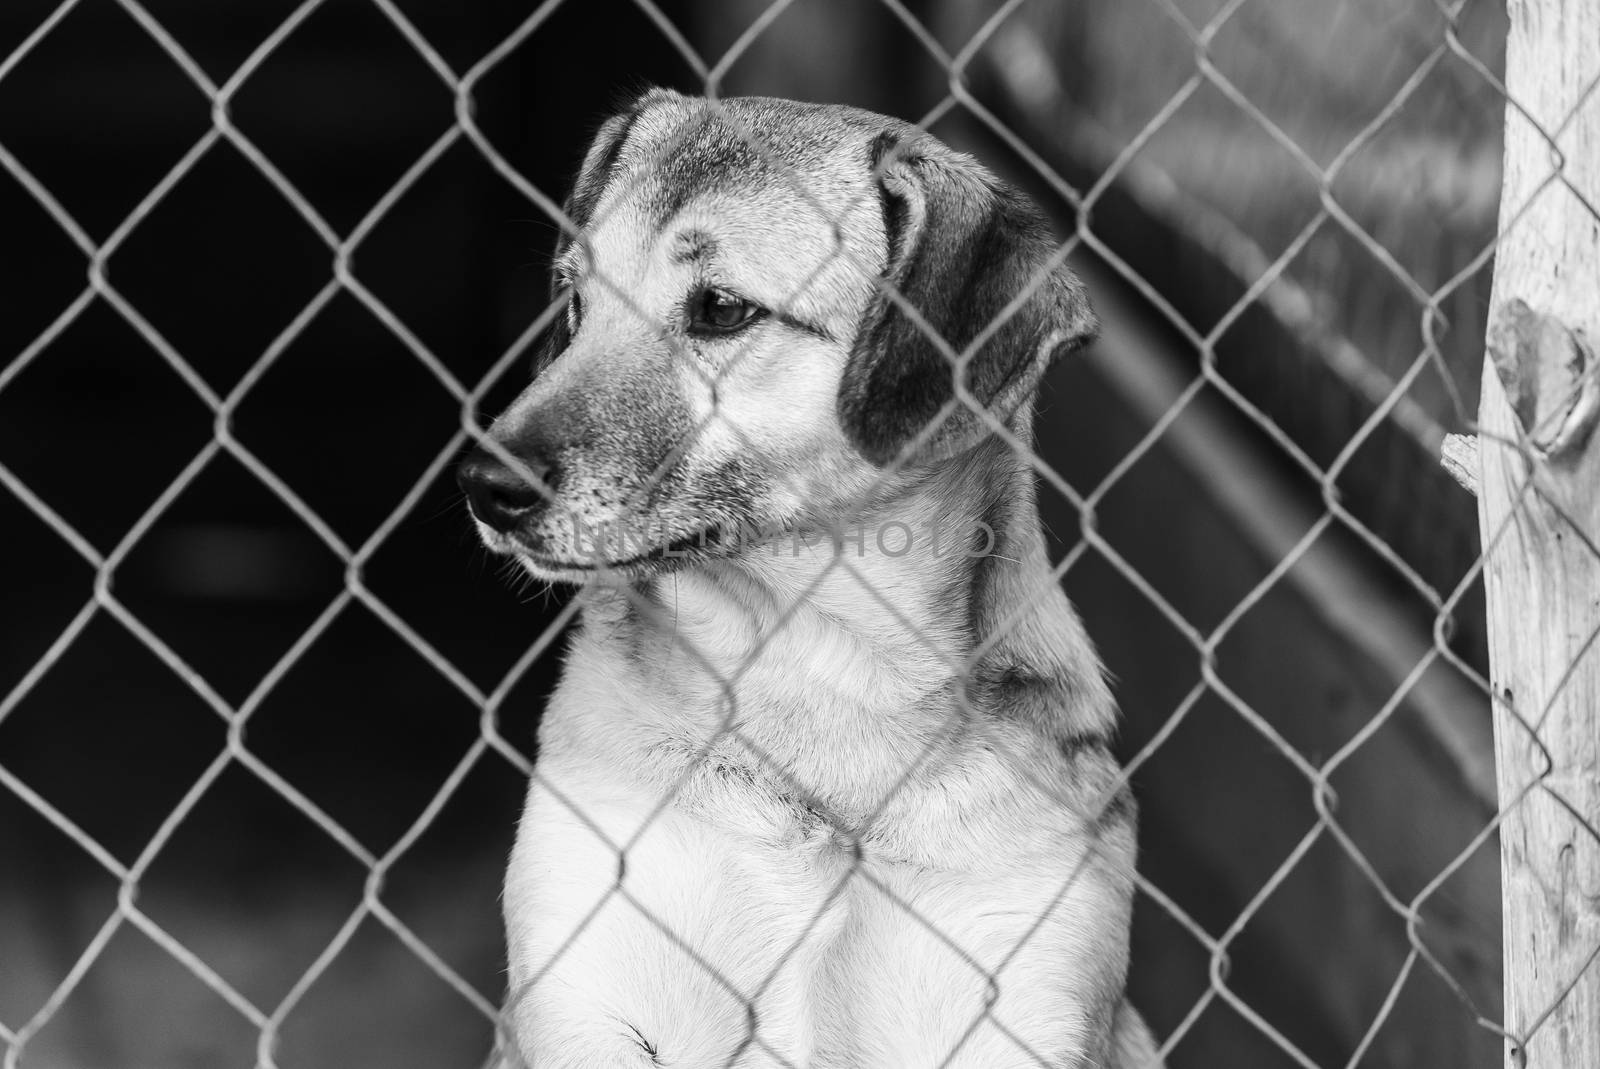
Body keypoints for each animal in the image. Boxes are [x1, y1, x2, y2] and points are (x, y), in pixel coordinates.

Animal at [457, 89, 1158, 1069]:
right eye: (575, 299)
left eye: (720, 308)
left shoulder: (1023, 1001)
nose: (484, 486)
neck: (817, 673)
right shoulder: (584, 989)